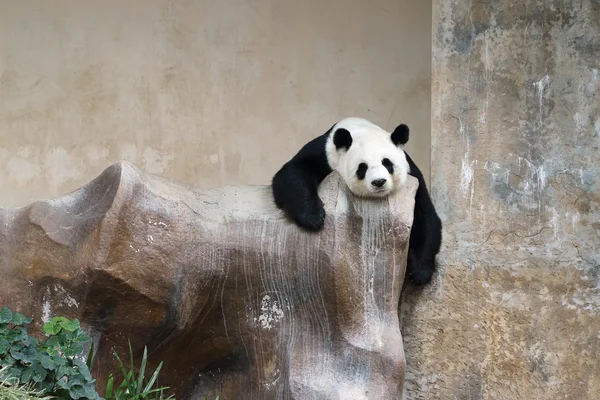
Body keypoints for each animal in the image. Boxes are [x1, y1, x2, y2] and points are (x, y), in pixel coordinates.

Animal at [270, 115, 440, 284]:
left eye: (387, 163)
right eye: (362, 167)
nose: (379, 182)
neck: (360, 130)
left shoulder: (411, 172)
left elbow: (425, 213)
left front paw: (420, 270)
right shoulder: (324, 154)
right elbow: (293, 171)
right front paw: (313, 217)